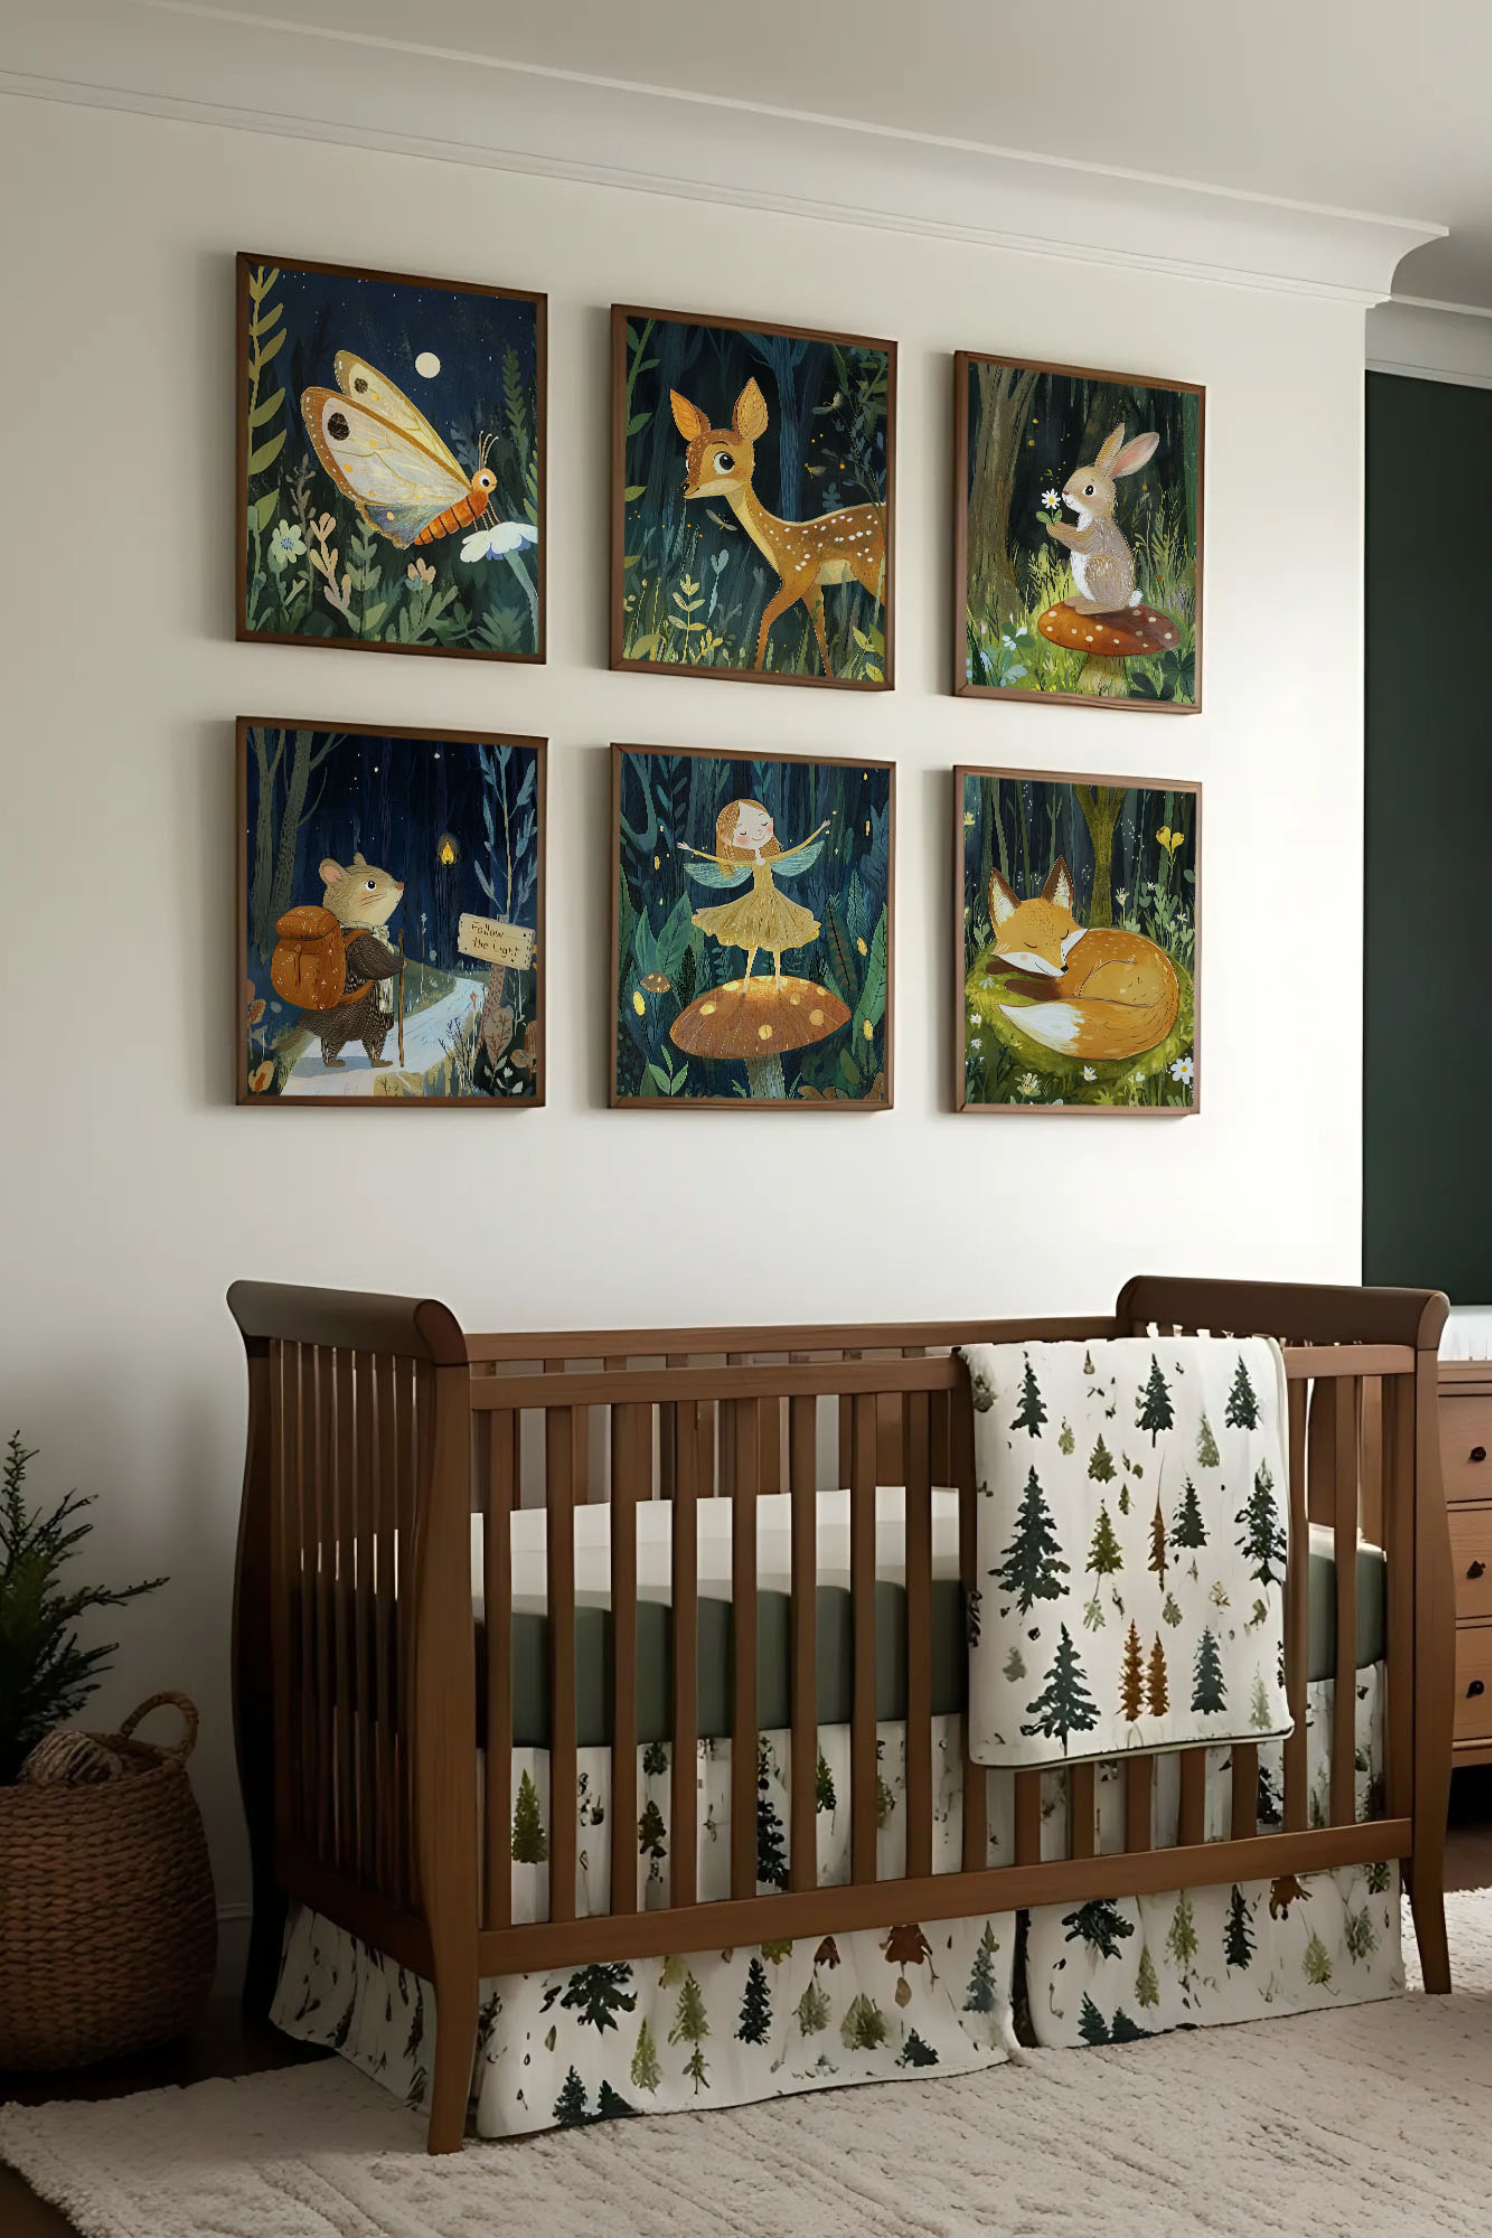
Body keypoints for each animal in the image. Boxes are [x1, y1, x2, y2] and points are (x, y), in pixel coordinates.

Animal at [670, 378, 886, 678]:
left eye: (725, 460)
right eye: (688, 458)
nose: (683, 488)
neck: (780, 539)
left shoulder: (798, 574)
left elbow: (765, 616)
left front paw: (756, 667)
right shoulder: (811, 585)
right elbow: (820, 632)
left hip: (871, 567)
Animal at [986, 857, 1178, 1062]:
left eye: (1063, 935)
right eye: (1031, 945)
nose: (1064, 968)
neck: (1071, 949)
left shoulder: (1065, 987)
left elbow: (1037, 987)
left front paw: (1011, 982)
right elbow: (1026, 969)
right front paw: (996, 966)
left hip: (1094, 984)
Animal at [1042, 423, 1160, 616]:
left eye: (1089, 490)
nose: (1065, 493)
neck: (1095, 514)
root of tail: (1127, 600)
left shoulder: (1097, 534)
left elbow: (1080, 542)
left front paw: (1050, 527)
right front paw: (1055, 523)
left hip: (1097, 568)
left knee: (1111, 606)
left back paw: (1088, 608)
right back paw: (1076, 601)